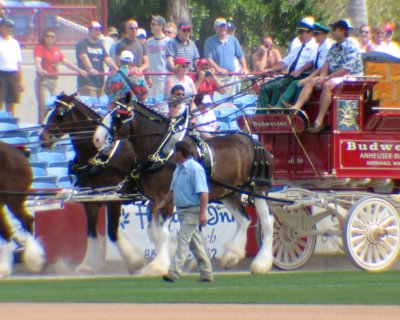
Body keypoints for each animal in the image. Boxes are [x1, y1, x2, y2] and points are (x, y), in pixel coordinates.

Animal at [39, 92, 145, 276]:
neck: (99, 156)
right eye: (47, 111)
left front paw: (135, 261)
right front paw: (87, 266)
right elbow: (91, 233)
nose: (42, 139)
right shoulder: (91, 201)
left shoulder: (114, 199)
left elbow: (112, 232)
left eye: (59, 114)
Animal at [95, 100, 276, 272]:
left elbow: (163, 233)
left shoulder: (167, 199)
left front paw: (158, 266)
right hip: (229, 193)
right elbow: (153, 232)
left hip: (259, 189)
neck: (163, 152)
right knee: (244, 220)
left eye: (118, 115)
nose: (97, 139)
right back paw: (231, 255)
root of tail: (254, 141)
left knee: (267, 222)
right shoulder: (155, 200)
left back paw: (261, 263)